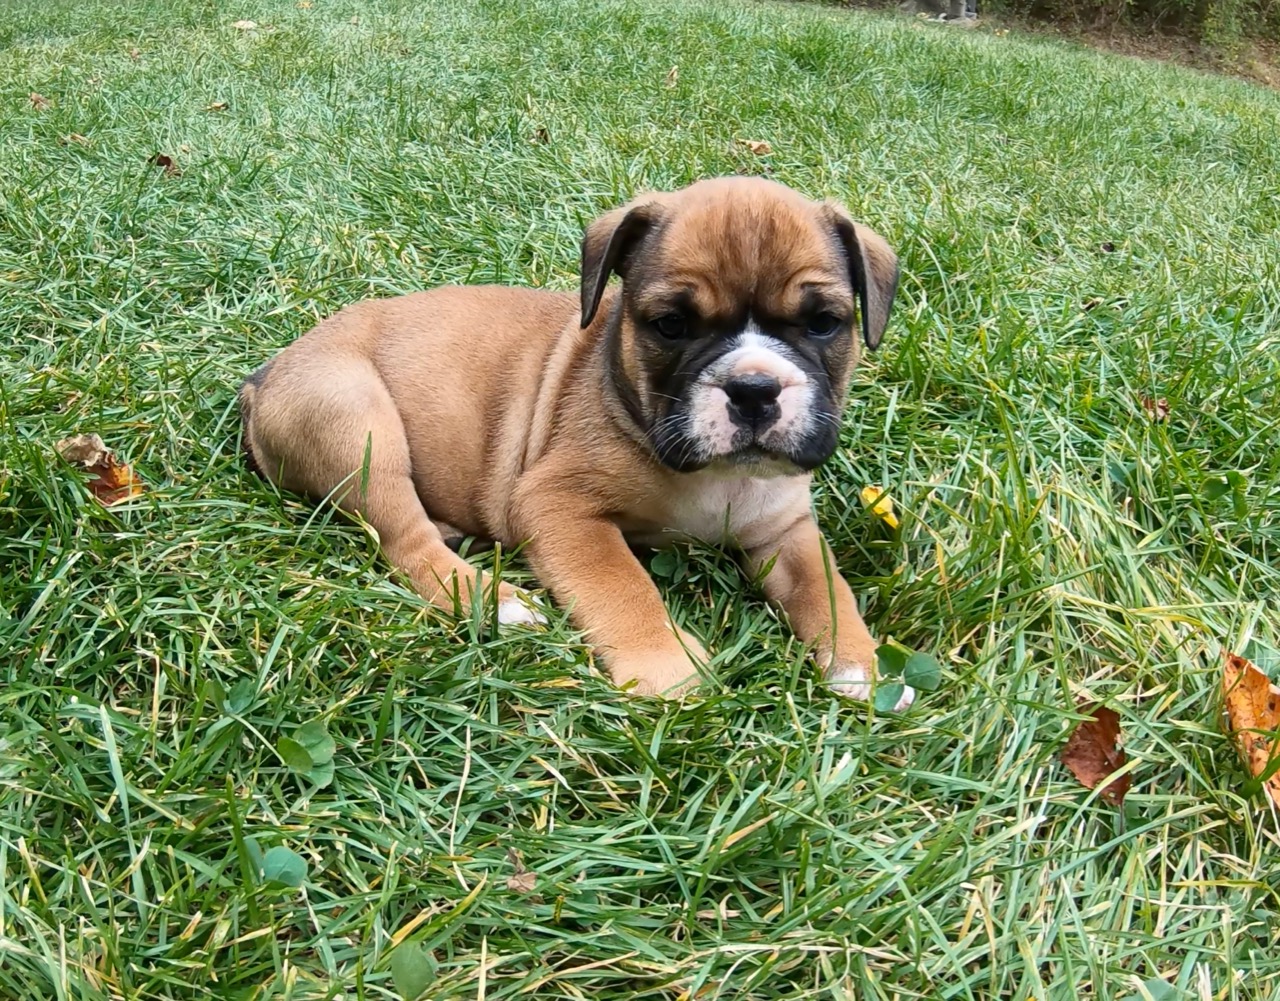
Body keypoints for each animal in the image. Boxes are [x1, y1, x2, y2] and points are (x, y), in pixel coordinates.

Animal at [240, 176, 916, 711]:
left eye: (824, 323)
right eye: (672, 325)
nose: (753, 388)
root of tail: (262, 378)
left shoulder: (787, 530)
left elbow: (826, 589)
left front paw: (862, 666)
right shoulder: (560, 506)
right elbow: (624, 585)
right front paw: (668, 669)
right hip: (358, 421)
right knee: (405, 540)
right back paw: (498, 600)